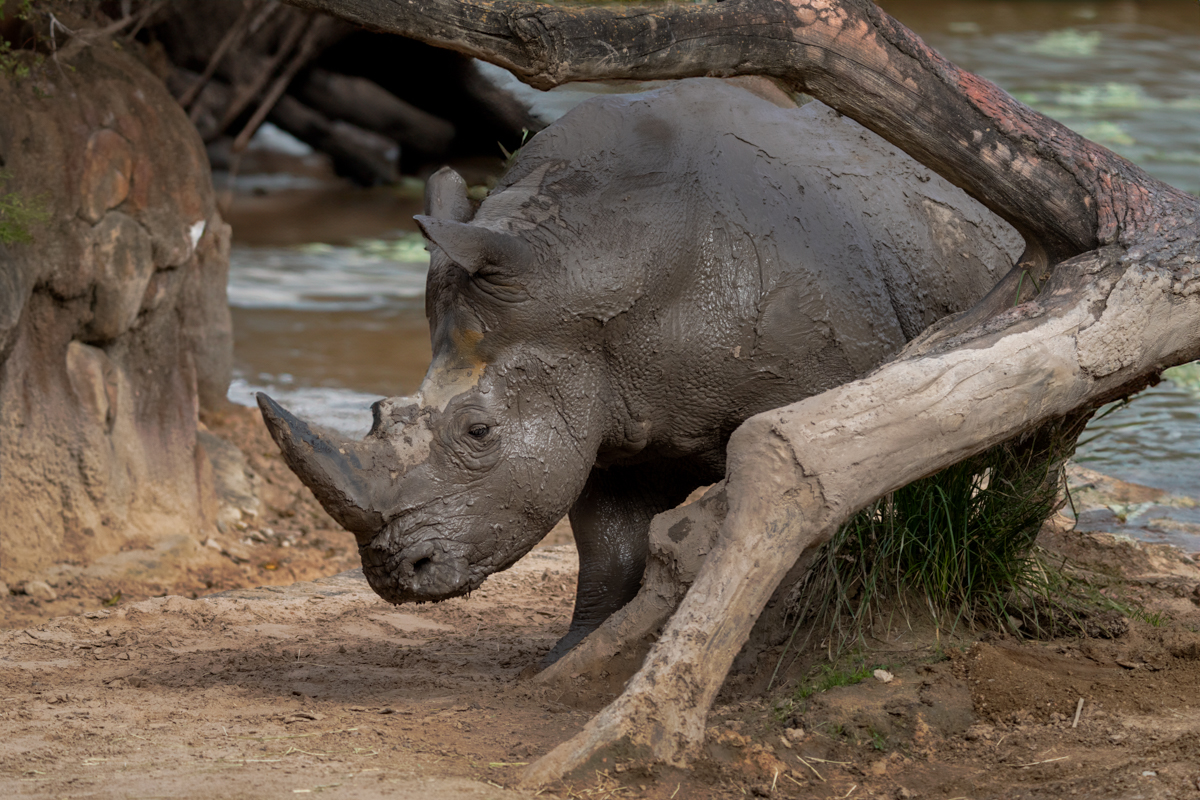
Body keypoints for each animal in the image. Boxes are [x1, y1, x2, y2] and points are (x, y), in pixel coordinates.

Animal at [257, 79, 1021, 662]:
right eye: (376, 413)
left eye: (478, 433)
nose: (391, 574)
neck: (588, 258)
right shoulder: (598, 407)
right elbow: (607, 549)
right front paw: (574, 657)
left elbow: (800, 516)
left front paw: (764, 637)